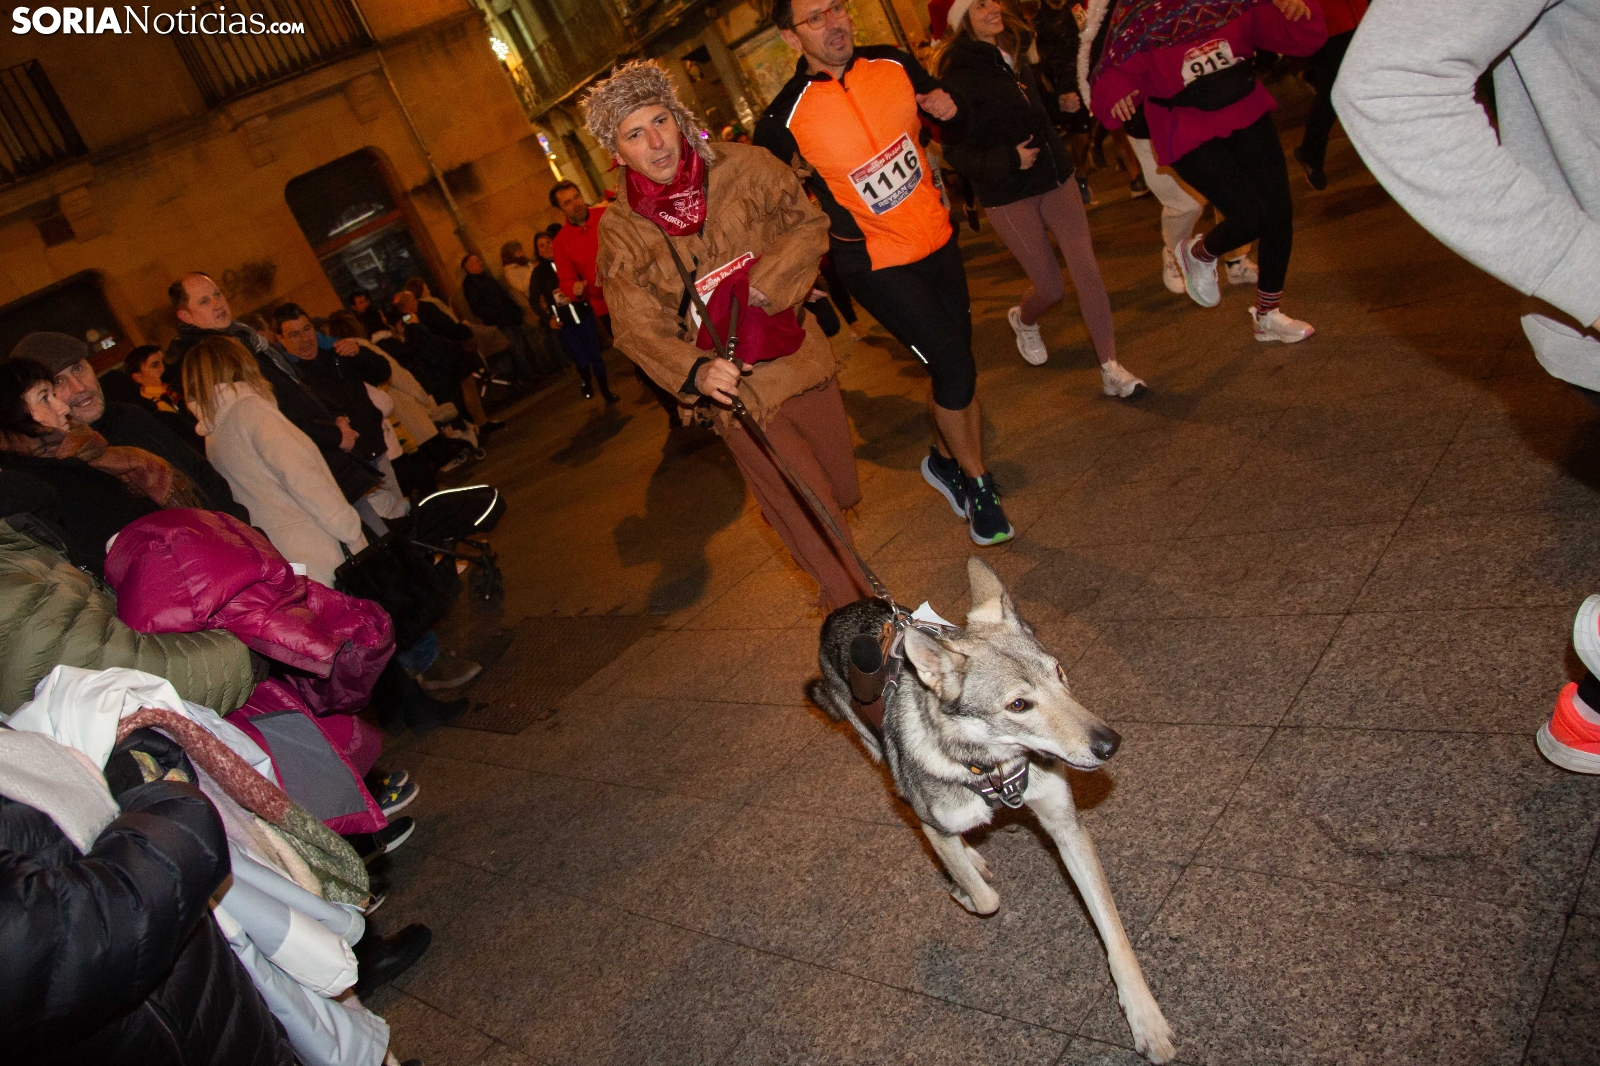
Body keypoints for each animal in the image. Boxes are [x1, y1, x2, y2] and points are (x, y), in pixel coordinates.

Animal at [812, 558, 1175, 1064]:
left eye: (1060, 672)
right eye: (1018, 704)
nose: (1110, 744)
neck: (993, 765)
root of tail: (838, 612)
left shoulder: (1066, 826)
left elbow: (1115, 936)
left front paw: (1145, 1019)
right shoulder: (936, 825)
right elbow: (986, 900)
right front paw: (963, 890)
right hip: (881, 757)